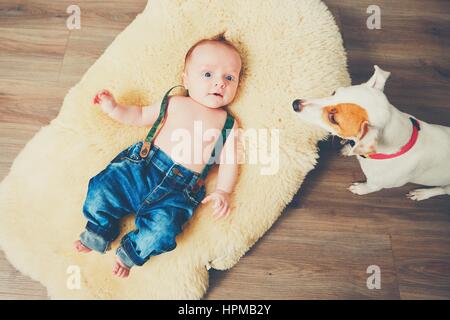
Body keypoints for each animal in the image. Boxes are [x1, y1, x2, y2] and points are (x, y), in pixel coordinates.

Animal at [292, 64, 450, 200]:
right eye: (334, 92)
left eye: (333, 118)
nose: (295, 103)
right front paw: (348, 149)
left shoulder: (377, 184)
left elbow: (369, 187)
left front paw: (360, 189)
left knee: (442, 190)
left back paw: (423, 193)